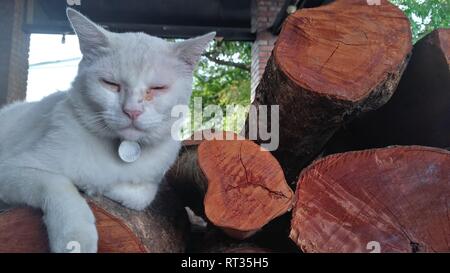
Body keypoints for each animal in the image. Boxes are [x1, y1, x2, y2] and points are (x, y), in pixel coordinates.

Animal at [0, 7, 215, 251]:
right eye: (110, 84)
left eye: (157, 88)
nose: (132, 111)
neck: (120, 152)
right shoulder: (10, 169)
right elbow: (56, 183)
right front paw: (74, 238)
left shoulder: (152, 179)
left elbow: (140, 194)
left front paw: (98, 186)